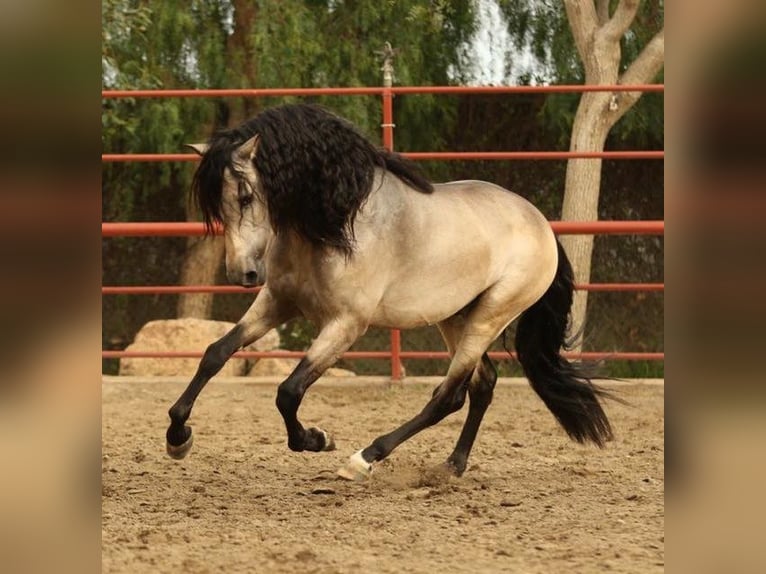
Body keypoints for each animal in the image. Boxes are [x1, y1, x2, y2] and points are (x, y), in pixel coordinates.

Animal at [165, 102, 616, 482]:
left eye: (245, 195)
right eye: (215, 207)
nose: (241, 272)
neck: (334, 223)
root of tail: (542, 225)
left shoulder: (346, 325)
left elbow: (288, 392)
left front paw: (317, 439)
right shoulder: (278, 301)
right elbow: (216, 354)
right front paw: (178, 437)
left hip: (490, 316)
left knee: (448, 396)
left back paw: (365, 458)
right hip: (455, 317)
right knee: (482, 384)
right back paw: (451, 466)